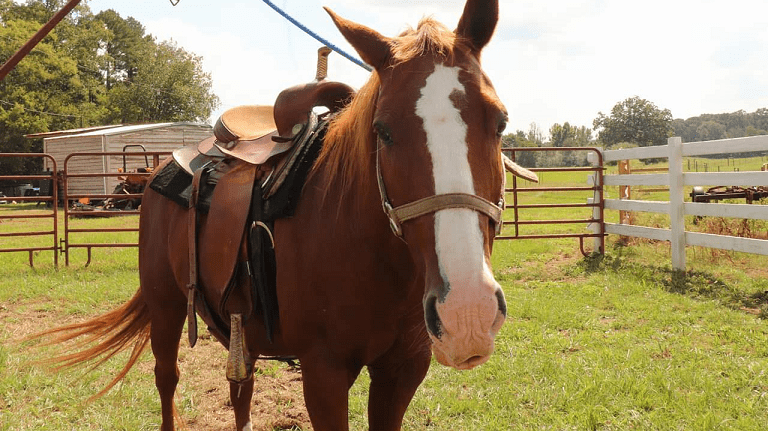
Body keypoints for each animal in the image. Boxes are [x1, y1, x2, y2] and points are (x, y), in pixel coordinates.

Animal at [37, 1, 516, 430]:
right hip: (166, 304)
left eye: (501, 122)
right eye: (383, 131)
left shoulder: (403, 369)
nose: (467, 313)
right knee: (167, 379)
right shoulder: (323, 374)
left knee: (240, 388)